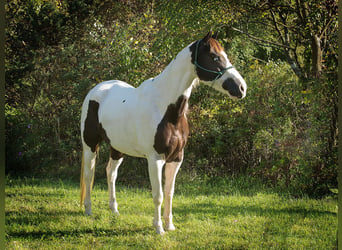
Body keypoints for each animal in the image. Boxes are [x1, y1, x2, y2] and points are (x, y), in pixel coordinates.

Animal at [80, 31, 246, 234]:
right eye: (215, 57)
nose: (241, 88)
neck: (166, 109)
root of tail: (95, 91)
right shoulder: (155, 159)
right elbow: (157, 194)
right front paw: (159, 228)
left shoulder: (176, 158)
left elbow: (169, 192)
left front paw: (170, 225)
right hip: (90, 144)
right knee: (89, 174)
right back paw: (88, 210)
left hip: (117, 147)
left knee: (111, 173)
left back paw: (114, 209)